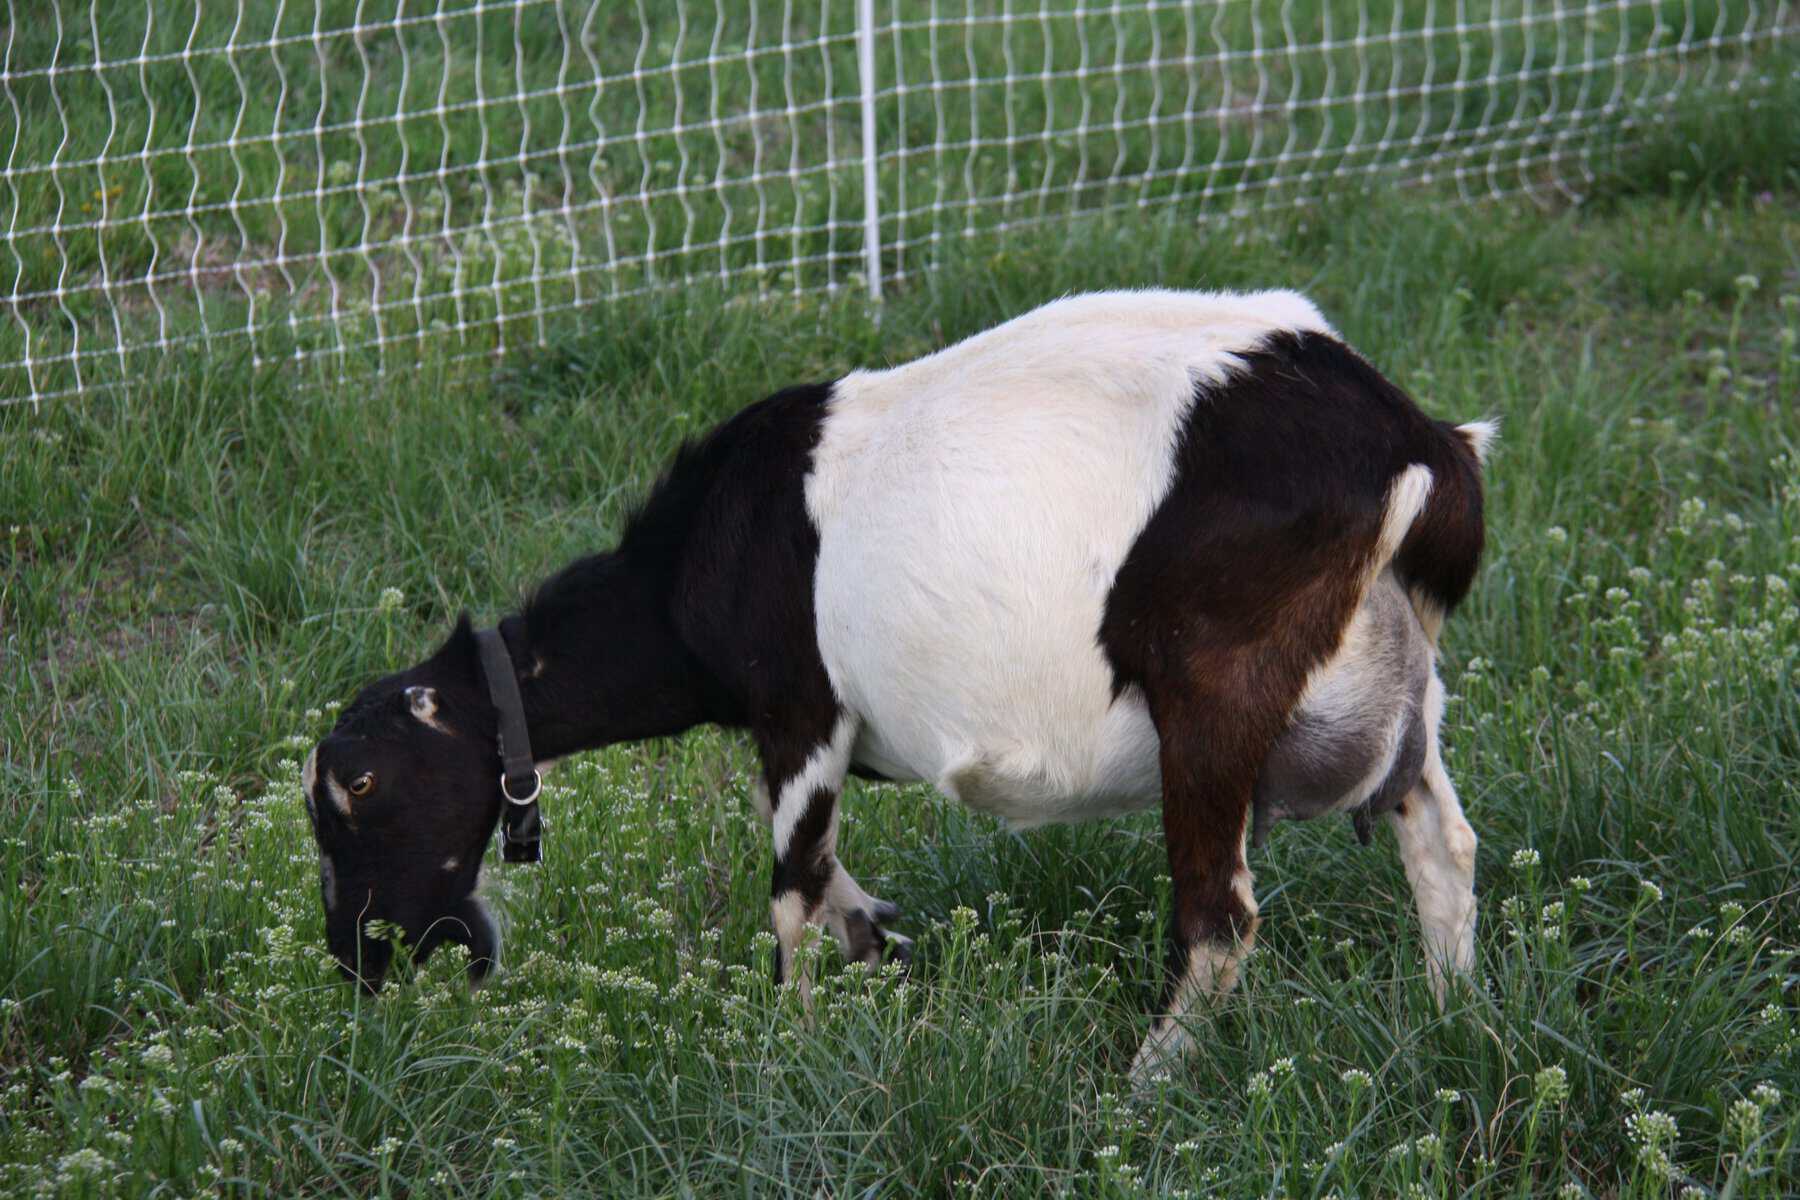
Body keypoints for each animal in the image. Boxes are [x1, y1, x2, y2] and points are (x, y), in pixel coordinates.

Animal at [303, 289, 1490, 1084]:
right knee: (1441, 838)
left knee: (1218, 918)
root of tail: (1416, 442)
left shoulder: (800, 709)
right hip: (1394, 680)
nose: (357, 963)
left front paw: (792, 1045)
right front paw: (887, 955)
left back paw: (1142, 1086)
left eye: (358, 786)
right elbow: (825, 881)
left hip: (1214, 695)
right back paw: (1451, 1017)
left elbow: (789, 885)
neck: (697, 557)